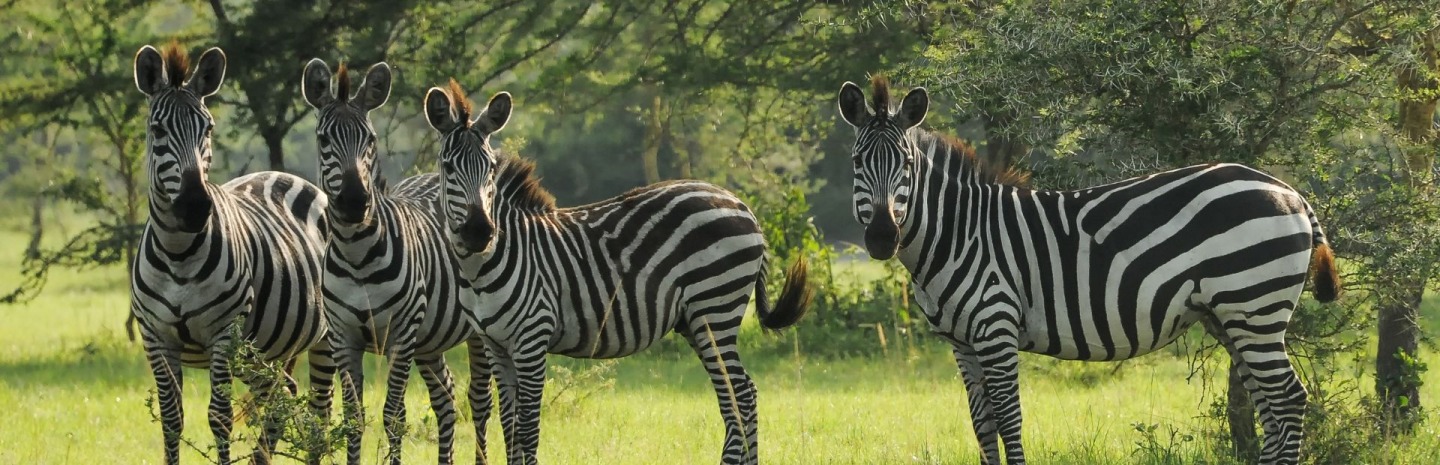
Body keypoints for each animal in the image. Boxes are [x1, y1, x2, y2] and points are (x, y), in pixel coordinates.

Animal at [130, 43, 329, 465]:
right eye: (157, 131)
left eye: (207, 129)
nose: (194, 206)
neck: (177, 253)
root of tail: (285, 175)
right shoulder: (155, 337)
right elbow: (171, 419)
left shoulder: (224, 333)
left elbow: (219, 417)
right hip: (264, 353)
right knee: (282, 393)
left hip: (321, 337)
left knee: (319, 408)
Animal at [300, 59, 490, 465]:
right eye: (323, 140)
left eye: (370, 140)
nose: (355, 201)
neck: (357, 255)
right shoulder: (343, 336)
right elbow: (354, 416)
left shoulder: (402, 331)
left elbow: (393, 416)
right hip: (431, 339)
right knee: (446, 397)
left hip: (476, 331)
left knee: (481, 402)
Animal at [420, 80, 813, 465]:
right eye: (447, 167)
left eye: (489, 168)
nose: (479, 232)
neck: (482, 268)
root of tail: (740, 204)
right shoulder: (496, 345)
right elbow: (510, 427)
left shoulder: (532, 339)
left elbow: (528, 431)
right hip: (696, 320)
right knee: (741, 393)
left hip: (715, 308)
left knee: (741, 395)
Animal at [836, 76, 1340, 465]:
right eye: (857, 162)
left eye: (907, 164)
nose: (881, 237)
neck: (959, 233)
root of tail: (1289, 192)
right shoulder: (962, 343)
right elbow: (982, 426)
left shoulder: (996, 327)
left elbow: (1009, 420)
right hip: (1232, 317)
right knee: (1268, 405)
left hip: (1254, 306)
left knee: (1288, 399)